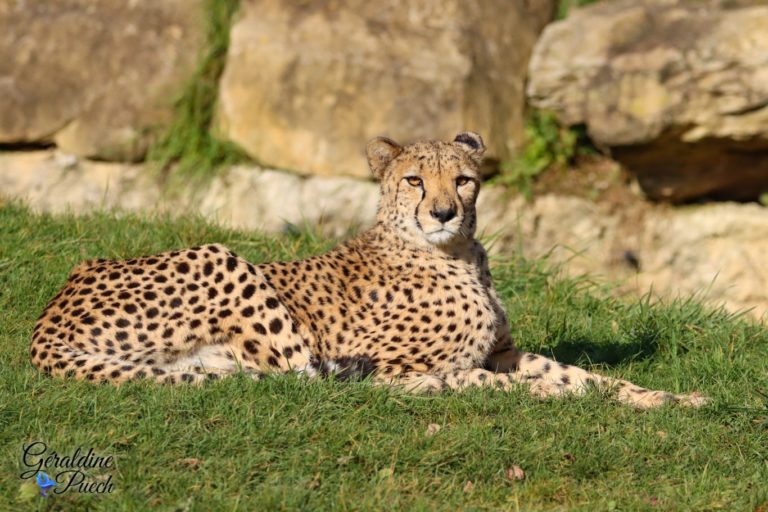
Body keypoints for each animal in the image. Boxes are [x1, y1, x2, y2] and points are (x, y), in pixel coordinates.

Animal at [30, 132, 712, 408]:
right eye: (414, 179)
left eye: (464, 180)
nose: (443, 212)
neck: (456, 254)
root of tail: (47, 319)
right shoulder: (388, 360)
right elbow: (499, 383)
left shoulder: (502, 352)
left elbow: (583, 375)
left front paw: (671, 398)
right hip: (221, 258)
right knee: (308, 378)